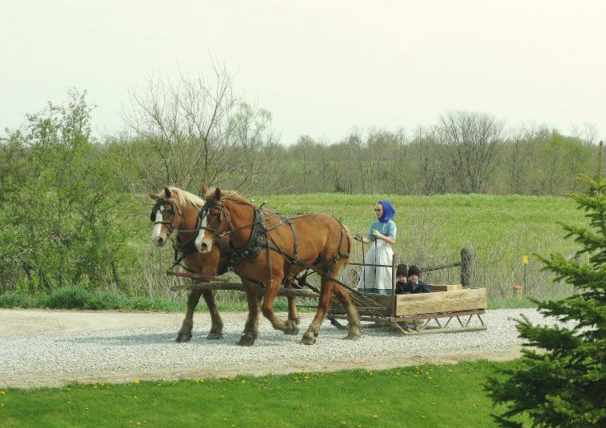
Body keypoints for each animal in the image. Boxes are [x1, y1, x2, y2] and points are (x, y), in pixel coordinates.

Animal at [197, 186, 364, 344]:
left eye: (215, 214)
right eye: (200, 215)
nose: (201, 244)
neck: (256, 236)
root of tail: (340, 225)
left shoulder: (274, 279)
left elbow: (266, 309)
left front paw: (287, 326)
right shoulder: (248, 280)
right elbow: (253, 308)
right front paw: (249, 335)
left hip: (329, 268)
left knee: (325, 301)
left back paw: (310, 333)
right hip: (323, 269)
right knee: (344, 294)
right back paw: (354, 328)